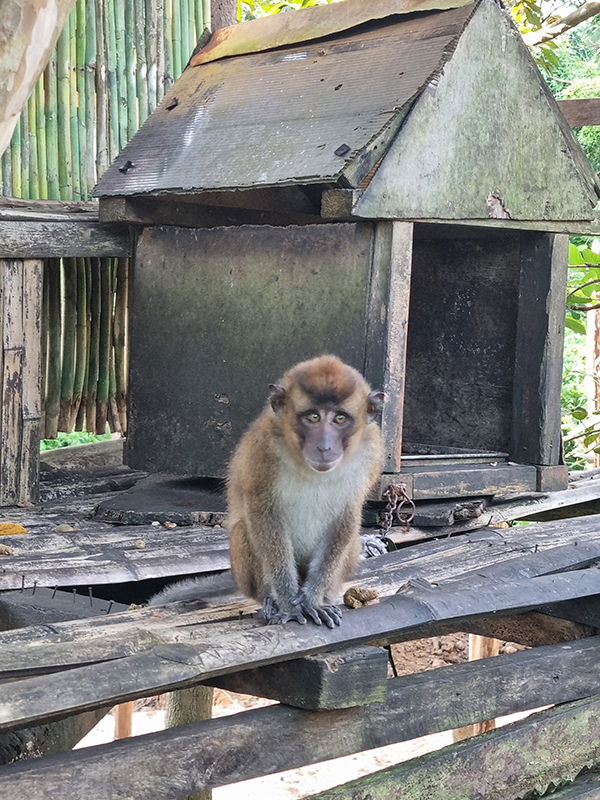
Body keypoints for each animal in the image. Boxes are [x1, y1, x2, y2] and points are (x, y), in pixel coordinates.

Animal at [149, 355, 384, 628]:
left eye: (340, 419)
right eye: (313, 417)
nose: (324, 447)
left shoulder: (371, 453)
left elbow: (347, 514)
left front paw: (313, 600)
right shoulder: (263, 448)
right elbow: (263, 513)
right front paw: (287, 602)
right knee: (244, 529)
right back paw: (270, 599)